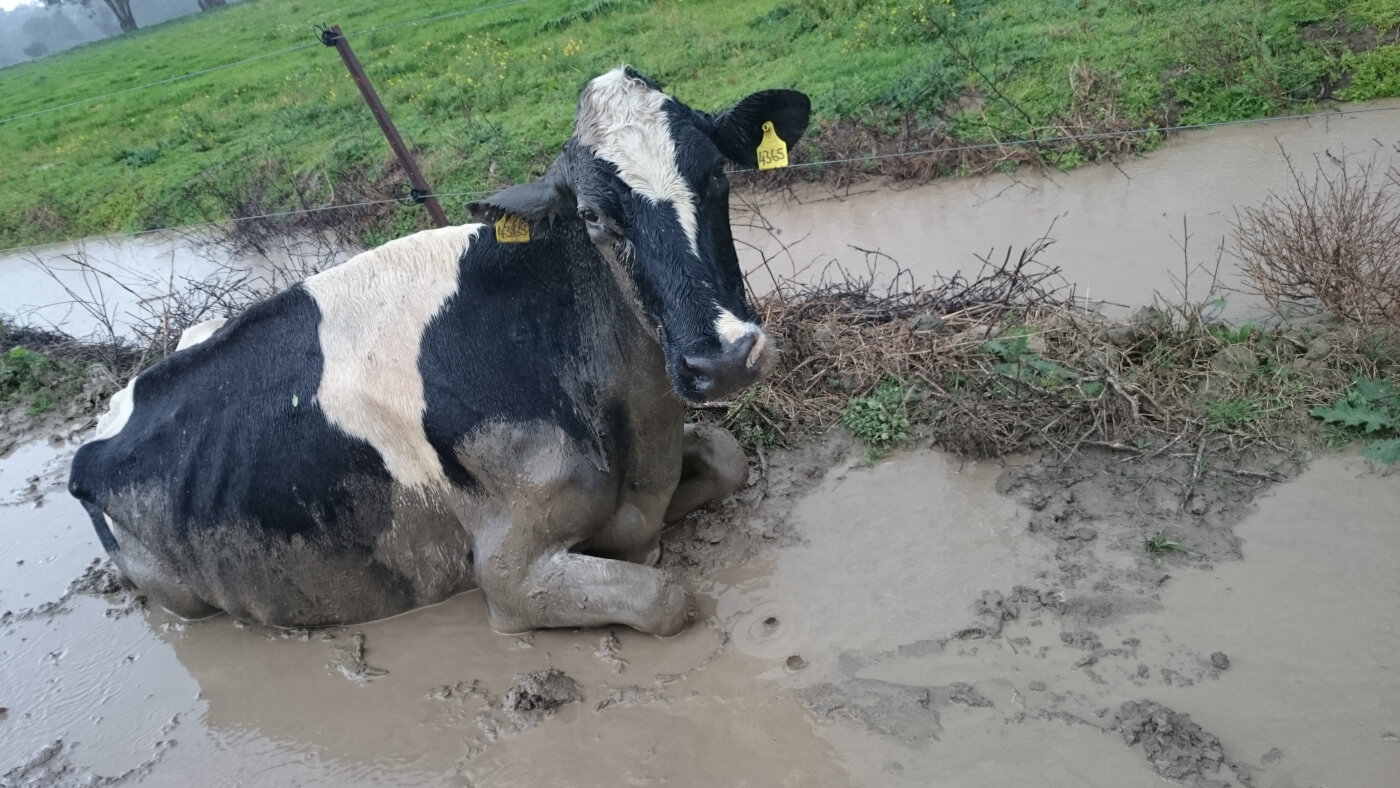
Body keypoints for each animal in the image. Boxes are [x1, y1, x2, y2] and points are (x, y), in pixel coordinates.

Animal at [67, 67, 811, 637]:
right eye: (595, 216)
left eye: (718, 177)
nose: (723, 360)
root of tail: (93, 439)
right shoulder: (510, 577)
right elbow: (666, 597)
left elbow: (727, 455)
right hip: (179, 597)